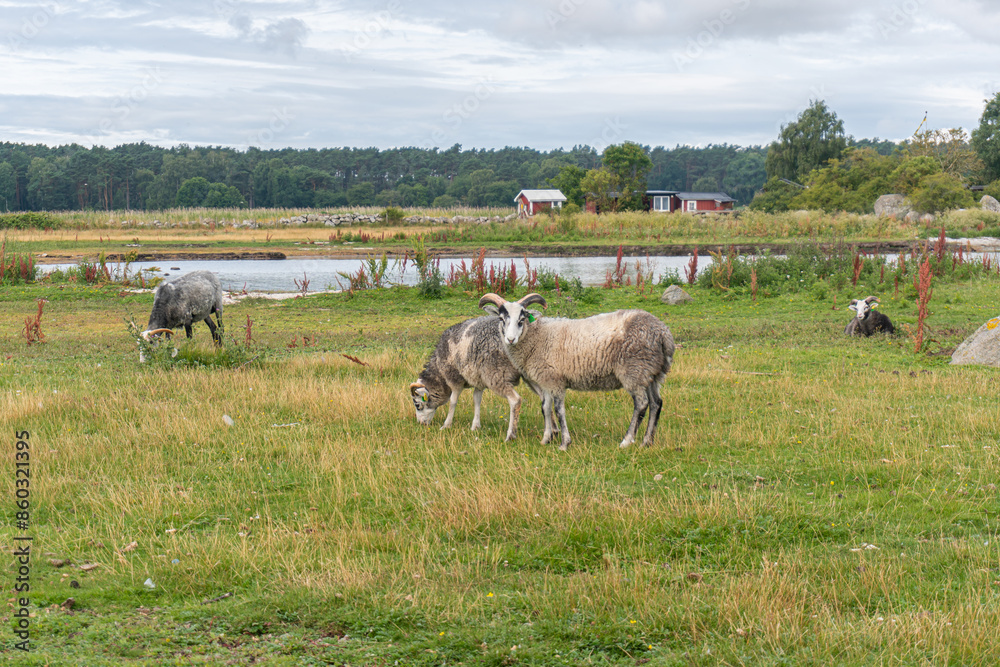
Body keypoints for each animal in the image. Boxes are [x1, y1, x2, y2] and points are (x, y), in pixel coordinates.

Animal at [478, 292, 675, 451]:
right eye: (501, 319)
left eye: (522, 319)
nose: (510, 339)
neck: (538, 336)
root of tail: (663, 333)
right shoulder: (546, 380)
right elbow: (545, 408)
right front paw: (546, 439)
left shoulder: (556, 381)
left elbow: (558, 410)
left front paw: (564, 443)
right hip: (652, 373)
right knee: (656, 403)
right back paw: (647, 441)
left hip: (634, 371)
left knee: (641, 404)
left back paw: (627, 441)